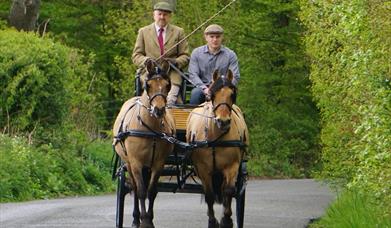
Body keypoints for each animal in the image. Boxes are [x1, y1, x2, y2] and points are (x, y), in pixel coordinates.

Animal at [112, 59, 175, 228]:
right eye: (148, 85)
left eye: (167, 85)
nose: (159, 110)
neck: (150, 128)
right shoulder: (136, 163)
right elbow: (140, 191)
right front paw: (143, 221)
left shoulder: (158, 163)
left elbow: (152, 191)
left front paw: (149, 220)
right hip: (129, 163)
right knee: (134, 187)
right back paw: (135, 219)